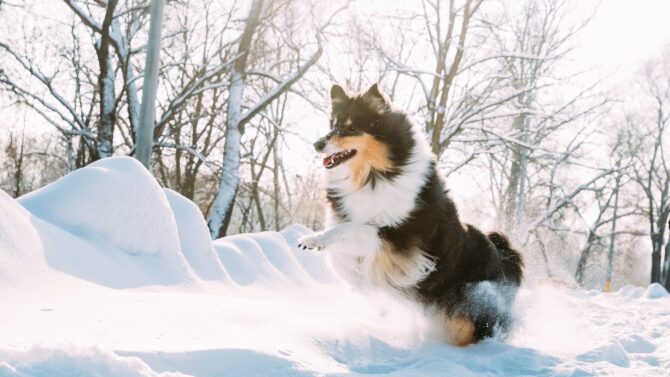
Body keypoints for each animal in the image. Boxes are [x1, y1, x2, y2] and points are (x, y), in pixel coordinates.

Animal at [300, 83, 524, 346]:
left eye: (352, 127)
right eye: (333, 123)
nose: (317, 145)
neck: (376, 175)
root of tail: (505, 256)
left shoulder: (399, 239)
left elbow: (353, 229)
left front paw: (314, 239)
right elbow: (343, 259)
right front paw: (362, 284)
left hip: (474, 302)